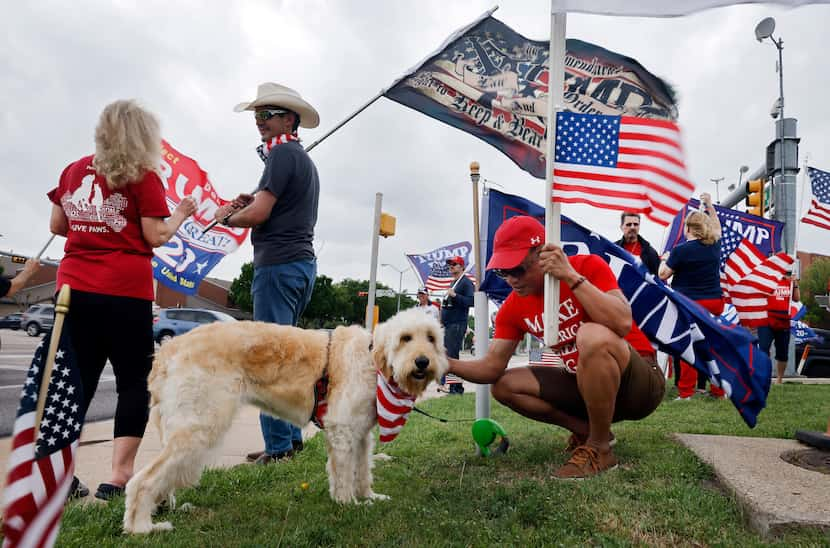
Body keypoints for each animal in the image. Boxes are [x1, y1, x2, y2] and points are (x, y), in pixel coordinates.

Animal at [123, 308, 448, 536]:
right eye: (406, 338)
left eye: (431, 338)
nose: (422, 362)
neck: (373, 361)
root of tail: (167, 348)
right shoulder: (343, 431)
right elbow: (344, 474)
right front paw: (347, 504)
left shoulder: (361, 435)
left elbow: (363, 471)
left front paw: (368, 497)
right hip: (198, 428)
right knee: (142, 480)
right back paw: (142, 528)